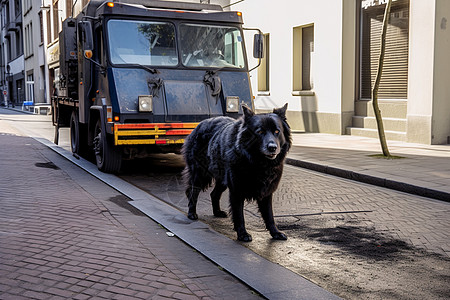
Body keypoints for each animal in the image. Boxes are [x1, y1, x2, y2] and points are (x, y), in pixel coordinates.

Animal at [183, 104, 292, 243]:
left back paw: (217, 212)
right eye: (260, 132)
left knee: (214, 194)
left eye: (277, 132)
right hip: (200, 174)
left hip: (222, 179)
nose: (272, 147)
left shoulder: (267, 191)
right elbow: (239, 215)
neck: (257, 163)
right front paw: (243, 234)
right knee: (193, 192)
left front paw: (275, 233)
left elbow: (269, 215)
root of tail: (199, 124)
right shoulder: (236, 191)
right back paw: (192, 213)